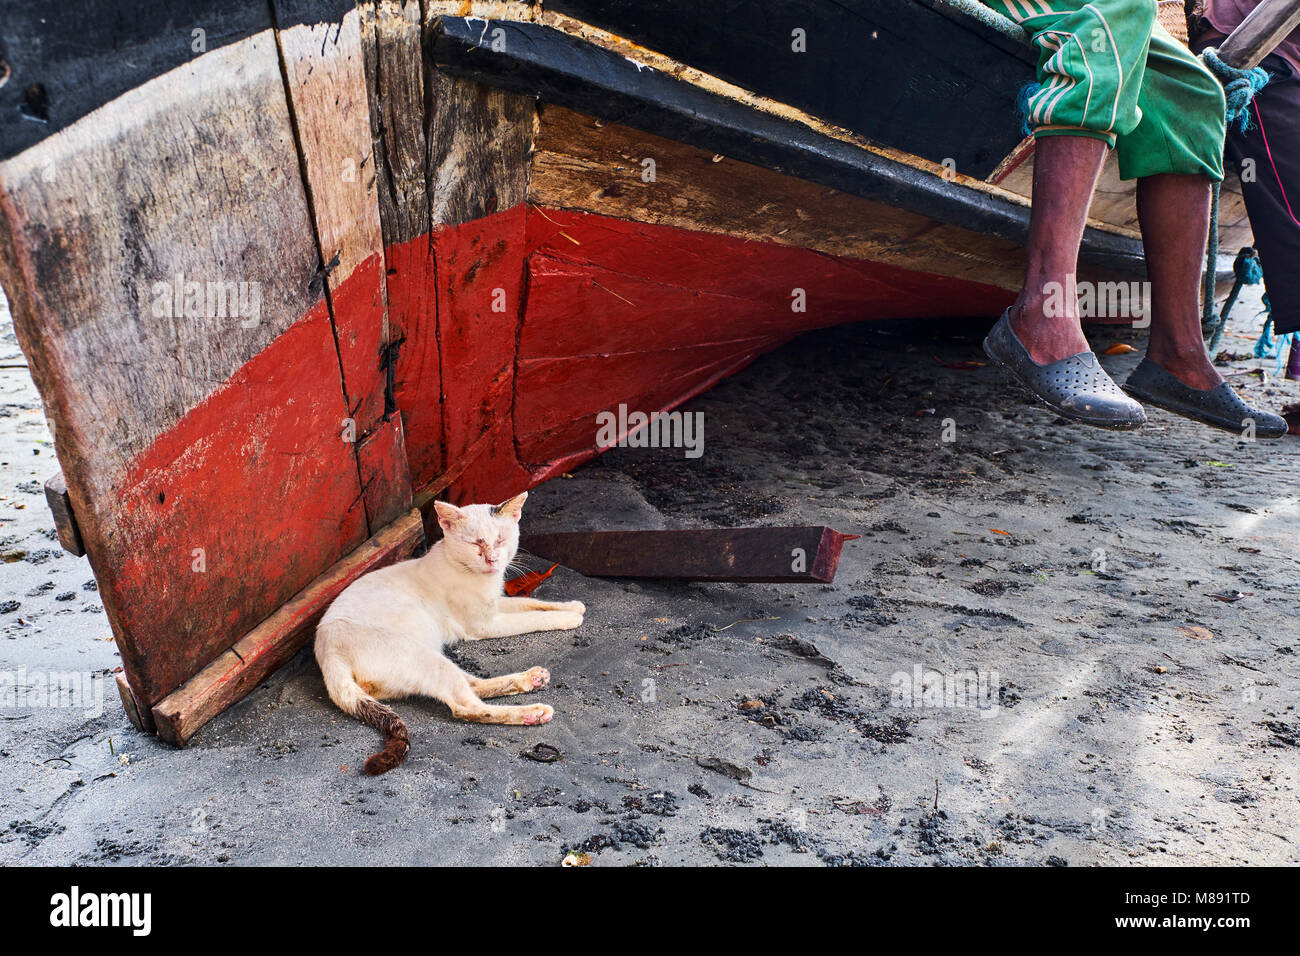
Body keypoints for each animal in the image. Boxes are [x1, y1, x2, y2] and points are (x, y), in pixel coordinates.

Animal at [312, 496, 582, 775]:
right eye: (476, 543)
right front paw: (568, 618)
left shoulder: (496, 604)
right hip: (421, 655)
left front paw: (572, 606)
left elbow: (532, 603)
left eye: (499, 540)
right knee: (466, 706)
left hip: (431, 658)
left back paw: (531, 679)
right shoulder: (485, 624)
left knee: (473, 685)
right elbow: (532, 618)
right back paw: (532, 713)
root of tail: (327, 650)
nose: (492, 560)